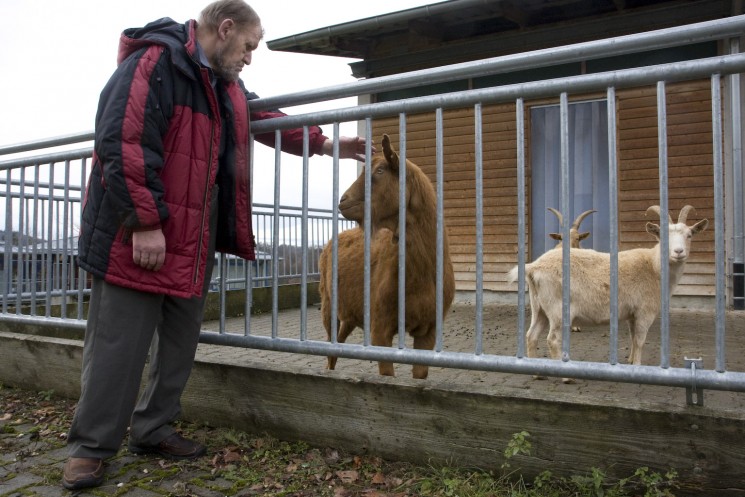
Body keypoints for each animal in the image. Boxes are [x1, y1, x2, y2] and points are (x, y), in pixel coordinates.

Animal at [318, 134, 456, 378]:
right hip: (328, 303)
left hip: (352, 312)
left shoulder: (429, 328)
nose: (343, 201)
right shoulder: (380, 325)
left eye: (380, 171)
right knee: (330, 346)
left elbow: (420, 376)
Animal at [506, 203, 708, 370]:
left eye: (689, 235)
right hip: (557, 308)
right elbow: (640, 340)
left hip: (539, 306)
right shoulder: (645, 312)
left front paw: (630, 360)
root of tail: (534, 267)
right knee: (553, 339)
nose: (678, 252)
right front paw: (638, 365)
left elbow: (633, 337)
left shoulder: (631, 314)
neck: (653, 265)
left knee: (531, 335)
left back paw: (537, 373)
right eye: (663, 237)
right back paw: (564, 376)